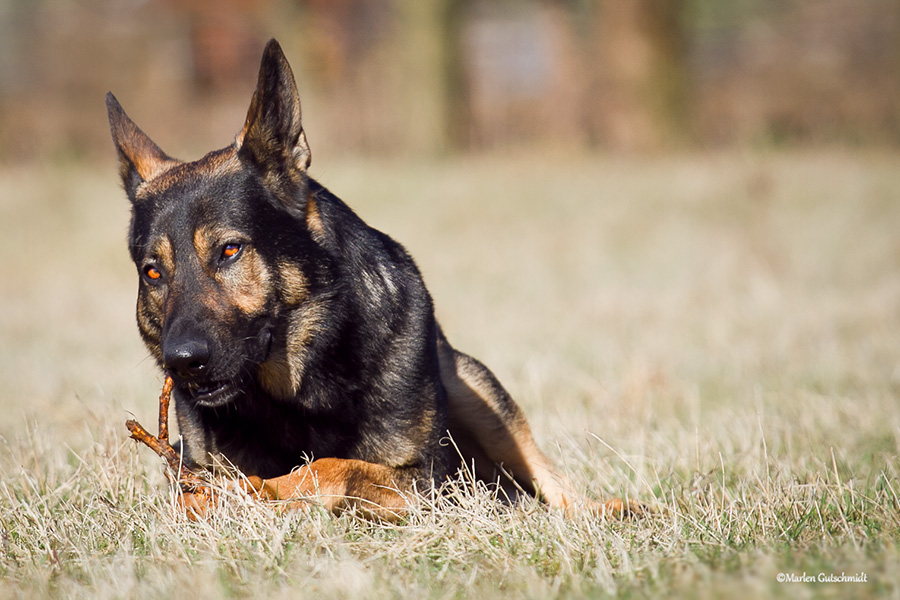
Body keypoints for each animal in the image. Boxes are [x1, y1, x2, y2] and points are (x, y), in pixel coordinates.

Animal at [105, 38, 632, 520]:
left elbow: (331, 467)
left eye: (230, 250)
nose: (182, 362)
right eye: (153, 272)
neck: (297, 388)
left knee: (560, 491)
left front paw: (262, 489)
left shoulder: (431, 480)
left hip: (475, 388)